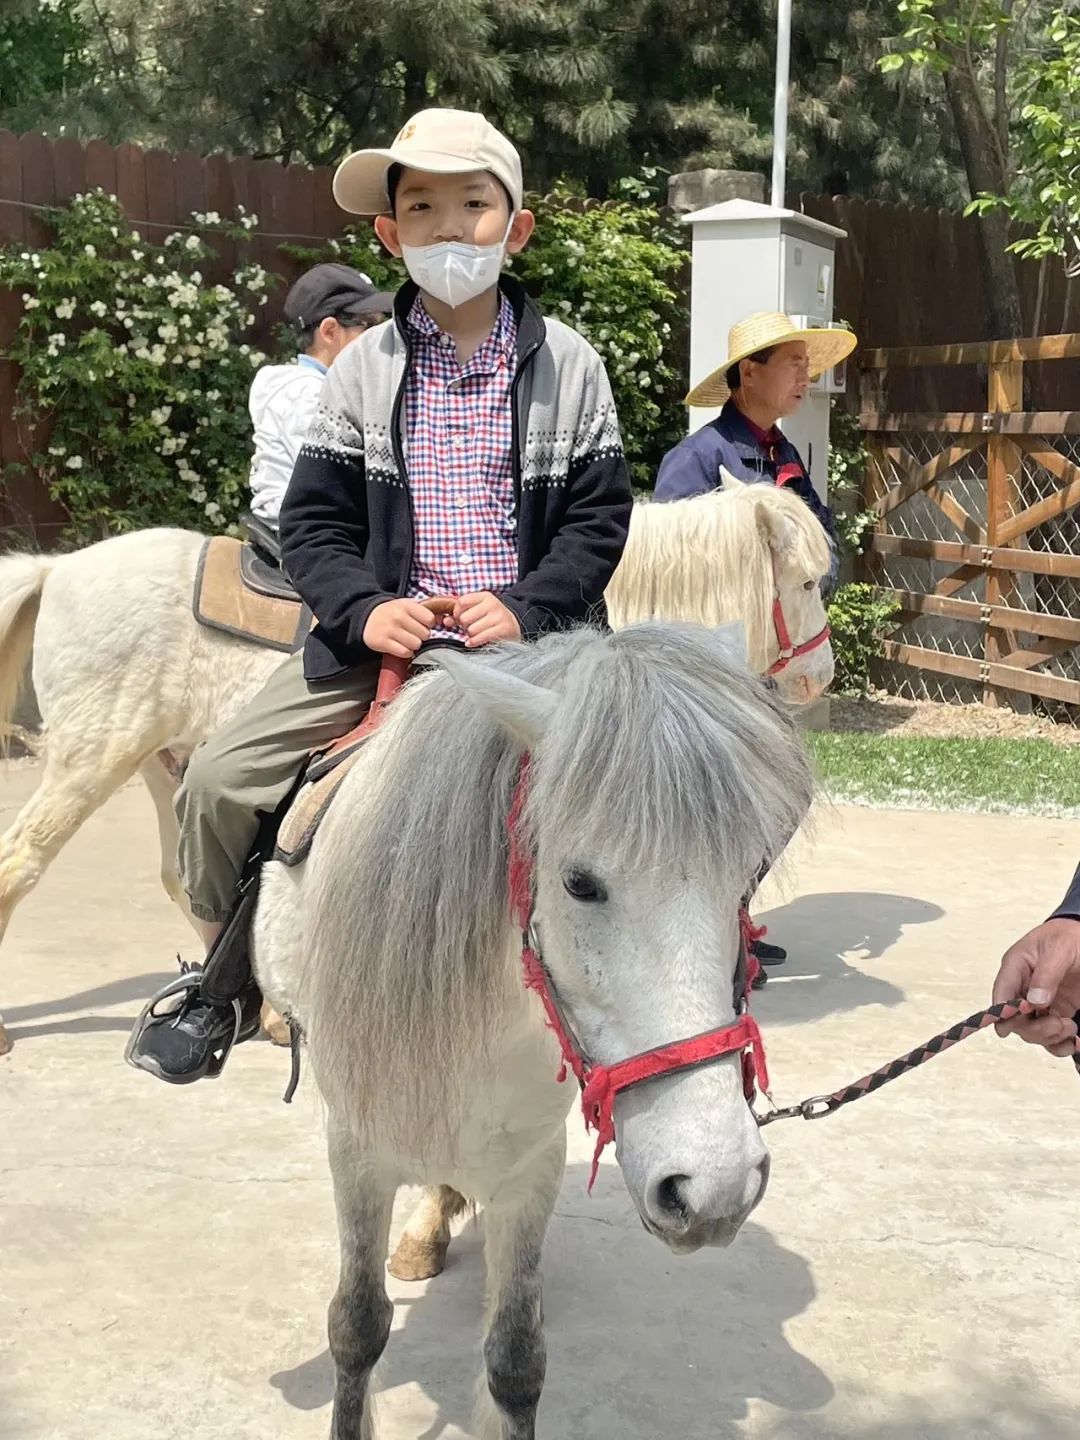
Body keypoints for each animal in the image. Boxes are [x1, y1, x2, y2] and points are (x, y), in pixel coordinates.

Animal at [0, 472, 832, 1062]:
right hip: (95, 755)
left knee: (187, 874)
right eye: (805, 582)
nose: (819, 677)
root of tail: (58, 568)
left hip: (163, 763)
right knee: (23, 863)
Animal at [249, 620, 815, 1437]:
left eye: (749, 876)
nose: (715, 1187)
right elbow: (356, 1328)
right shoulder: (354, 1151)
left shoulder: (531, 1167)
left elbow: (516, 1360)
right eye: (579, 882)